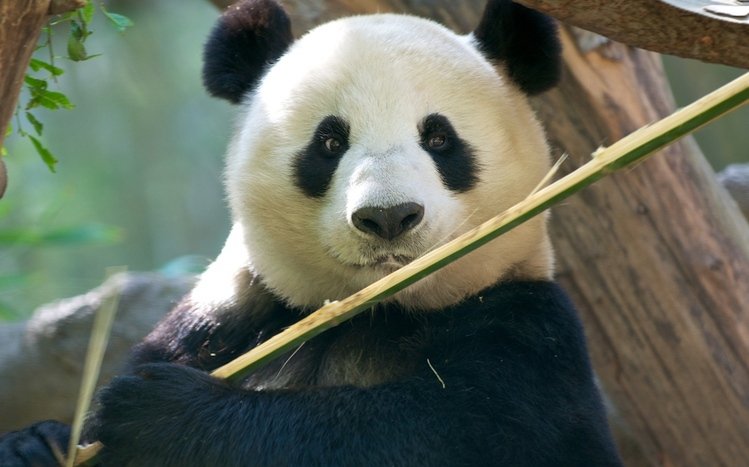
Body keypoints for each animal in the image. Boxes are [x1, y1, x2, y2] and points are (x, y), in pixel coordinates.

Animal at [0, 0, 623, 465]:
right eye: (329, 141)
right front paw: (37, 443)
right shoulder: (228, 319)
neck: (374, 310)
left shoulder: (528, 335)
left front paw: (162, 417)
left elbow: (424, 432)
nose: (389, 217)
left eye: (439, 138)